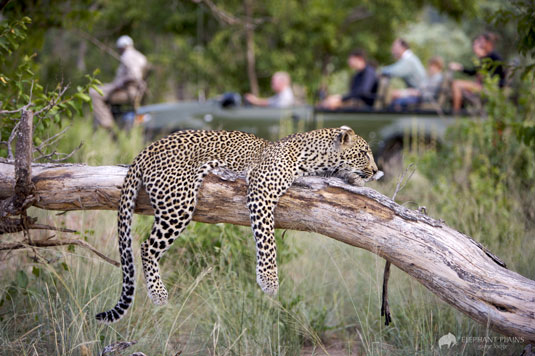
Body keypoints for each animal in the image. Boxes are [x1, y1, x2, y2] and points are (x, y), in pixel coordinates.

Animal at [95, 124, 382, 322]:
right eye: (364, 153)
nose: (377, 171)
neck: (309, 156)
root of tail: (147, 149)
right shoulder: (261, 190)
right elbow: (267, 240)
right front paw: (269, 281)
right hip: (179, 203)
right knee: (146, 247)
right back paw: (158, 295)